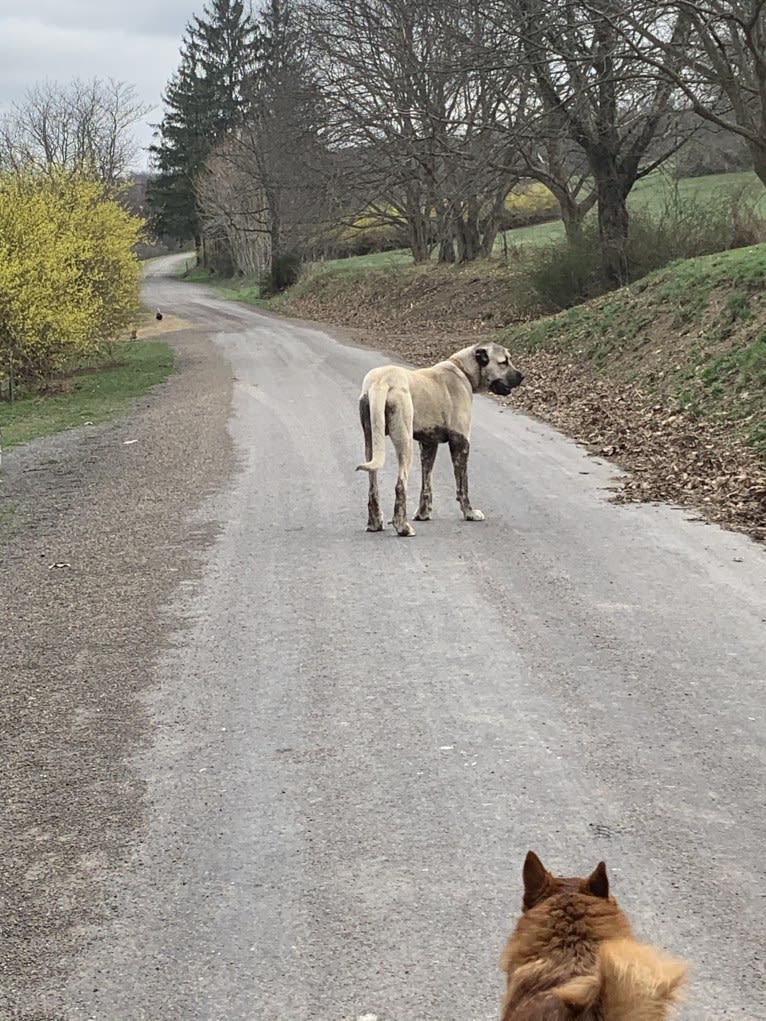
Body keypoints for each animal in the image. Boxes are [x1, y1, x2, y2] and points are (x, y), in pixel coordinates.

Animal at [357, 341, 527, 539]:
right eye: (503, 362)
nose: (522, 376)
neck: (463, 370)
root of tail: (380, 381)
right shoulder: (460, 442)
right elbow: (462, 485)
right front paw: (469, 513)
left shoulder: (428, 445)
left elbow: (426, 484)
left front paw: (423, 514)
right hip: (405, 443)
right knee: (400, 486)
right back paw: (403, 527)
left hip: (371, 442)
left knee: (373, 485)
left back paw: (375, 523)